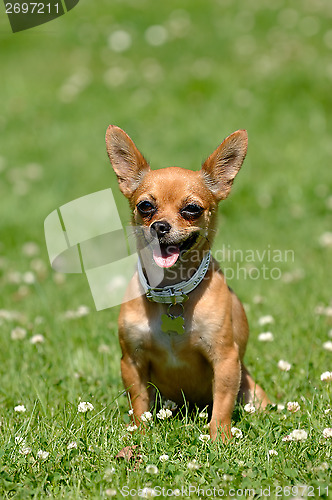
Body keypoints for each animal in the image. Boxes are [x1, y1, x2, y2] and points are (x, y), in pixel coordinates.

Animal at [106, 126, 270, 442]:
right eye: (145, 206)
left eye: (192, 209)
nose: (160, 226)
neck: (172, 291)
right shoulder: (131, 362)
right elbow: (139, 404)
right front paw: (140, 435)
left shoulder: (226, 360)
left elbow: (222, 405)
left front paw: (219, 439)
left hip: (252, 393)